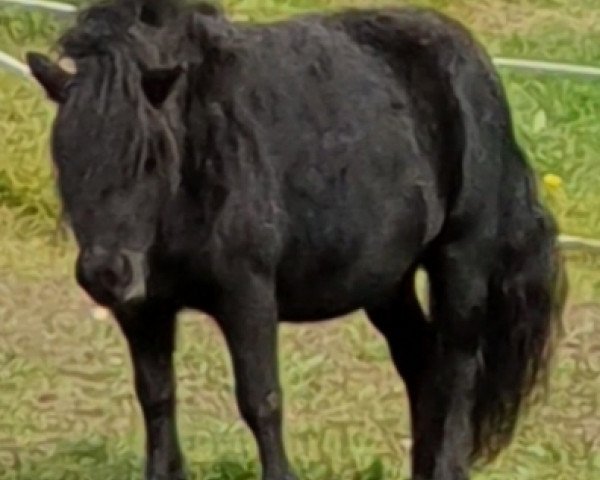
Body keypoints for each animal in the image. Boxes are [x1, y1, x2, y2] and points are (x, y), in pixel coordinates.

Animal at [24, 0, 568, 478]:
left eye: (150, 156)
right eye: (65, 152)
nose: (106, 274)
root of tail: (476, 66)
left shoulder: (248, 294)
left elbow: (261, 400)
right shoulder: (143, 309)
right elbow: (156, 396)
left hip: (461, 258)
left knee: (457, 366)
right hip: (386, 284)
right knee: (421, 364)